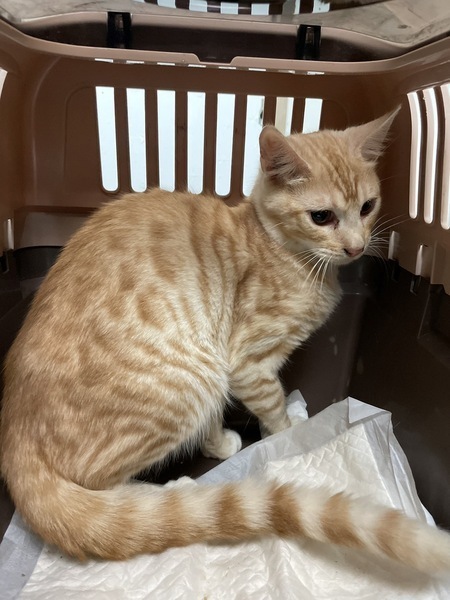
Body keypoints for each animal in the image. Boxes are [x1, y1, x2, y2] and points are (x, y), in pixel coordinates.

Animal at [1, 108, 450, 573]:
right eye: (321, 217)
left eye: (367, 207)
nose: (356, 248)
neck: (289, 255)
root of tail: (14, 438)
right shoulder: (245, 363)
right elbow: (273, 406)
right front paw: (290, 430)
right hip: (192, 378)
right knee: (102, 485)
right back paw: (169, 492)